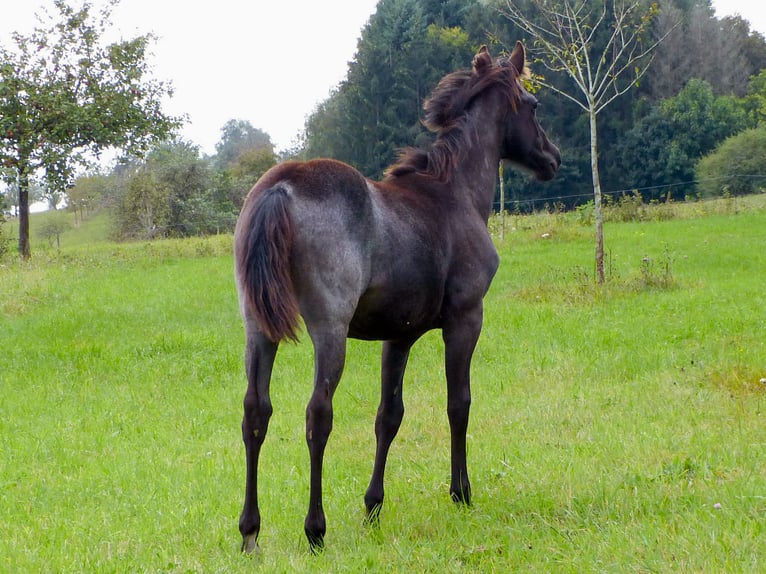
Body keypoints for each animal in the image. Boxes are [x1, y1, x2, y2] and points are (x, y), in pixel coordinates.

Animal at [232, 42, 560, 556]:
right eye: (533, 104)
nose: (553, 158)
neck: (454, 195)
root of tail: (281, 187)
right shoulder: (466, 319)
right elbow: (459, 403)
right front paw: (461, 492)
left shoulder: (398, 336)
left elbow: (389, 415)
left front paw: (373, 506)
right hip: (329, 330)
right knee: (317, 414)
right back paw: (315, 528)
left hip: (257, 328)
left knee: (255, 412)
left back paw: (250, 531)